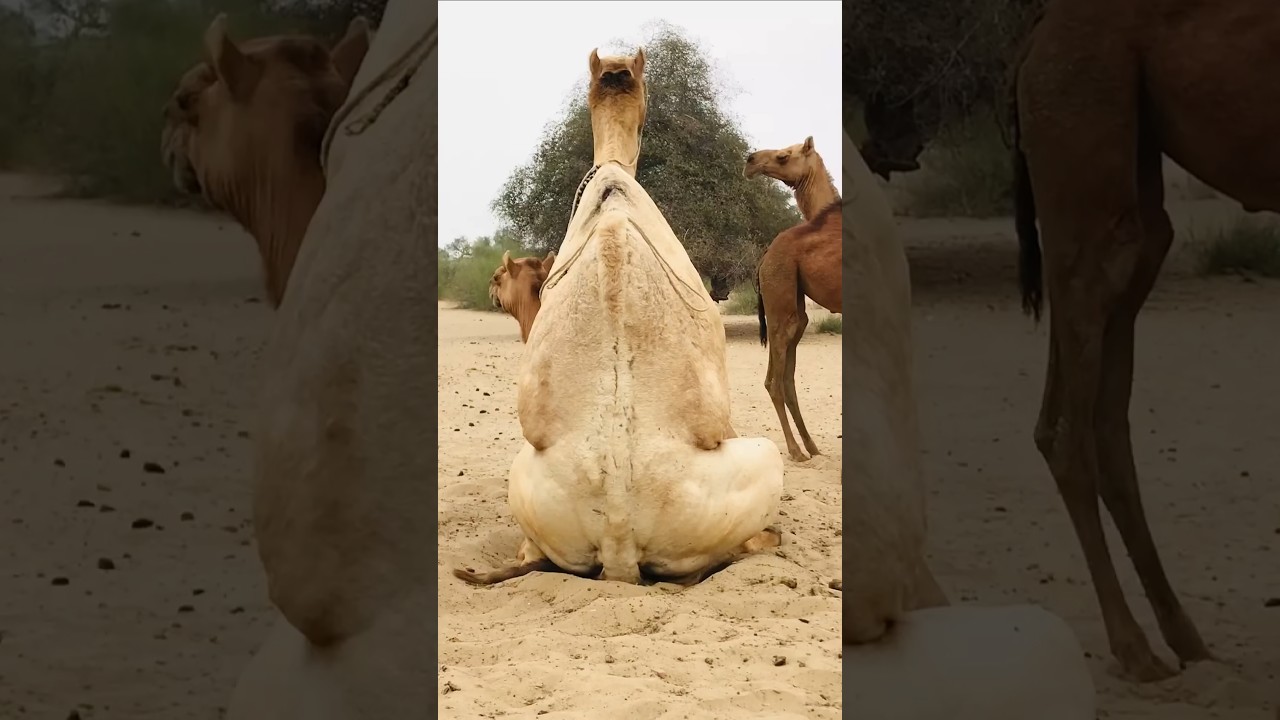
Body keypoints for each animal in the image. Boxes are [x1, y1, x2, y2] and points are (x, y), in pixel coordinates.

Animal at [744, 137, 842, 463]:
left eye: (784, 156)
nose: (750, 160)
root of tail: (764, 260)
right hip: (783, 307)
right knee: (776, 382)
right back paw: (798, 450)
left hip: (790, 312)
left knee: (781, 381)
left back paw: (809, 447)